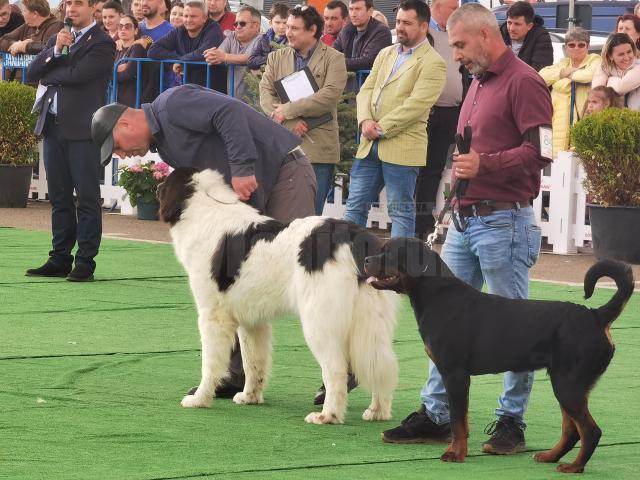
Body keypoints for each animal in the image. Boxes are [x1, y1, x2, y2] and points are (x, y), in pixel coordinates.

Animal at [158, 169, 398, 424]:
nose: (157, 186)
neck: (205, 208)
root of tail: (353, 236)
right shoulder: (252, 322)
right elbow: (254, 362)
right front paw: (250, 397)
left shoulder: (213, 316)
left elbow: (210, 364)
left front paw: (200, 399)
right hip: (371, 322)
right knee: (381, 365)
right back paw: (378, 411)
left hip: (319, 322)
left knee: (336, 369)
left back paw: (327, 416)